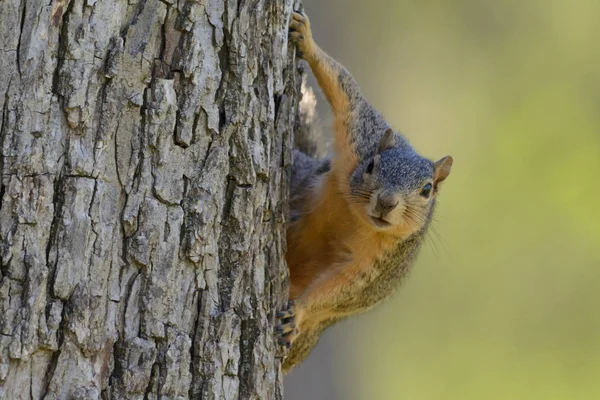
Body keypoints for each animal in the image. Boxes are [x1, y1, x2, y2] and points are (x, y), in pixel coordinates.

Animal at [278, 10, 452, 374]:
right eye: (372, 165)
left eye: (427, 190)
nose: (386, 202)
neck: (356, 218)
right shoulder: (359, 139)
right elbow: (348, 95)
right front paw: (306, 39)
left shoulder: (376, 266)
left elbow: (343, 289)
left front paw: (298, 310)